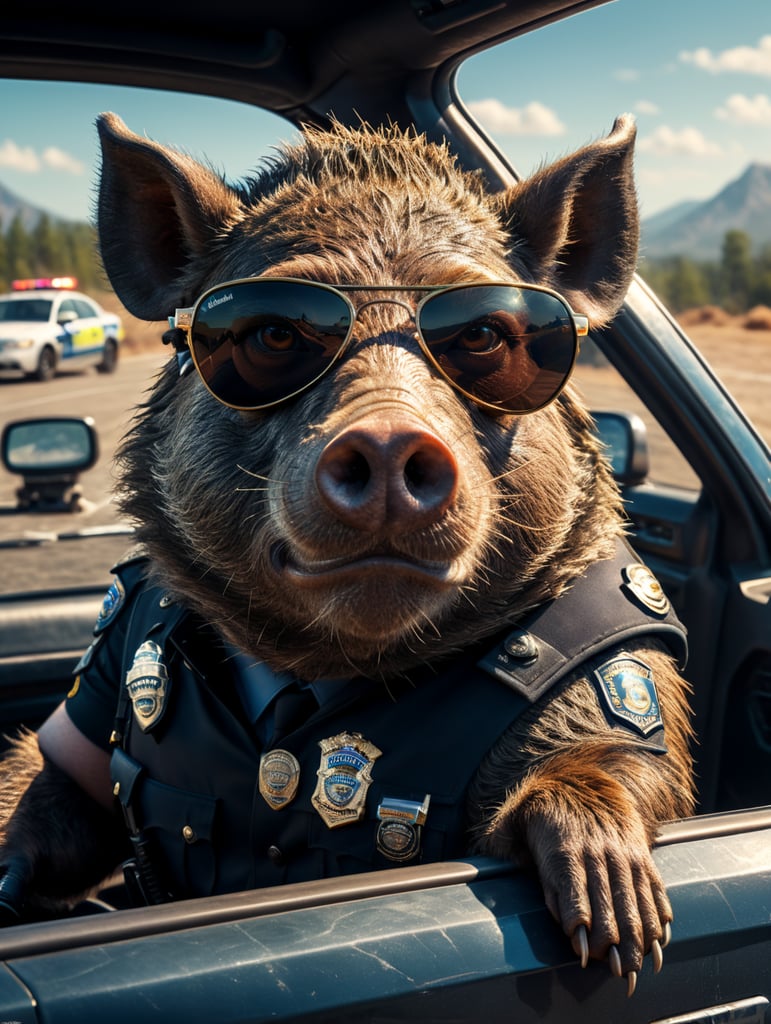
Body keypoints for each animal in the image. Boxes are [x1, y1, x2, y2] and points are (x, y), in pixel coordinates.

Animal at [0, 113, 694, 995]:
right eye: (271, 334)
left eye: (481, 334)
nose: (389, 437)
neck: (320, 674)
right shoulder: (98, 680)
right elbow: (55, 782)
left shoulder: (618, 663)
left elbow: (612, 764)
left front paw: (619, 936)